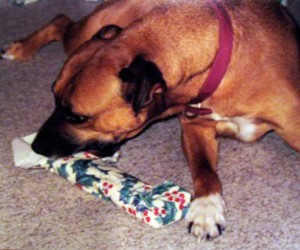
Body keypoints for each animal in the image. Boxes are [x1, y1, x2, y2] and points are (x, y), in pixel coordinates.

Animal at [1, 0, 298, 242]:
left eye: (78, 117)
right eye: (53, 97)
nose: (35, 147)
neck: (220, 61)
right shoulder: (194, 128)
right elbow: (205, 171)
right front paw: (206, 207)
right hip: (86, 32)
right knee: (61, 20)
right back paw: (21, 48)